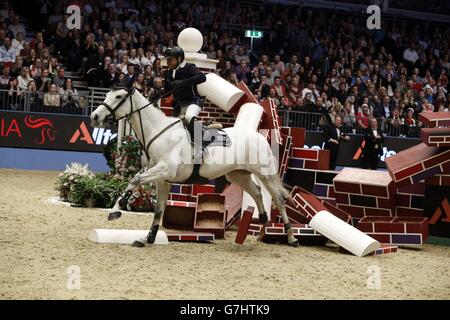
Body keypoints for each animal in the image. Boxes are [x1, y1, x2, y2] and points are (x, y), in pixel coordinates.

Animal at [89, 85, 298, 248]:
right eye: (107, 95)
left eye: (118, 97)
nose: (94, 116)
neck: (158, 131)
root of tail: (259, 137)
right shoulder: (162, 180)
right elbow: (158, 210)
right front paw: (147, 238)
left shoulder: (165, 169)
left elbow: (135, 179)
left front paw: (116, 209)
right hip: (237, 175)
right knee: (256, 192)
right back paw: (262, 218)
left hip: (265, 173)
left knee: (278, 199)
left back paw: (291, 237)